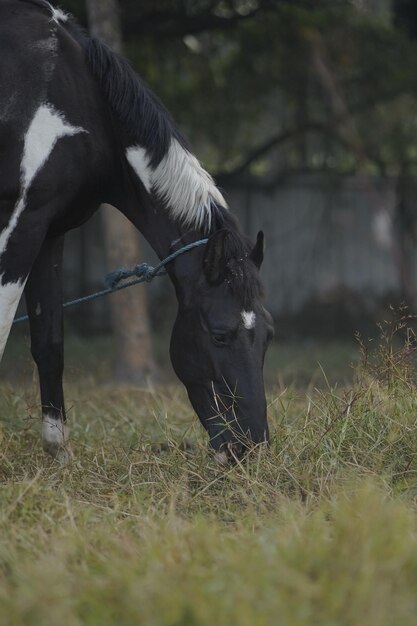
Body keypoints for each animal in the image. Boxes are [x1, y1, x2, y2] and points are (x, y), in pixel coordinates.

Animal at [0, 1, 272, 464]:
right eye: (221, 334)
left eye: (268, 335)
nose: (251, 447)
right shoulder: (19, 224)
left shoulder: (48, 230)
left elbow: (49, 342)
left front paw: (57, 452)